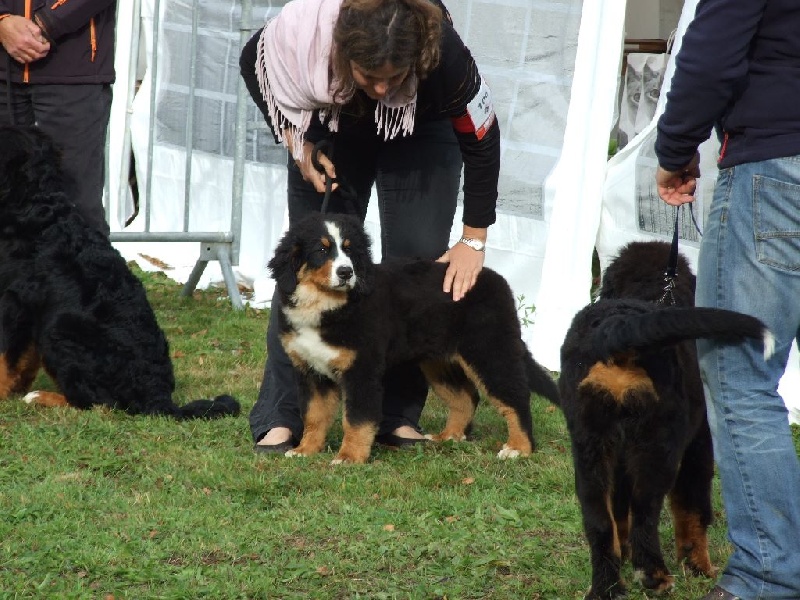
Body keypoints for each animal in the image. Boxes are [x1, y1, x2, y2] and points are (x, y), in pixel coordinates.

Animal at [0, 125, 239, 419]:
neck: (33, 210)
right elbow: (23, 358)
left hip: (60, 329)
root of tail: (158, 395)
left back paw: (42, 397)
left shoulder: (12, 302)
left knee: (98, 402)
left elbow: (4, 355)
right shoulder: (32, 311)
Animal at [267, 212, 559, 464]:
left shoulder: (362, 370)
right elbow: (314, 416)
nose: (346, 272)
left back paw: (518, 448)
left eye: (349, 251)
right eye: (321, 250)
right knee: (466, 397)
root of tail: (495, 279)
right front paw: (305, 450)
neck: (326, 305)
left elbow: (357, 419)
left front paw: (349, 457)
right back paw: (449, 437)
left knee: (516, 397)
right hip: (439, 361)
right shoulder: (310, 370)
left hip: (489, 351)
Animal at [558, 241, 774, 599]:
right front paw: (699, 567)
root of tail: (618, 324)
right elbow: (693, 511)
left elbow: (617, 520)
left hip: (589, 448)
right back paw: (654, 576)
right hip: (659, 446)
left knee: (599, 520)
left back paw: (607, 587)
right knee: (645, 511)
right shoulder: (699, 445)